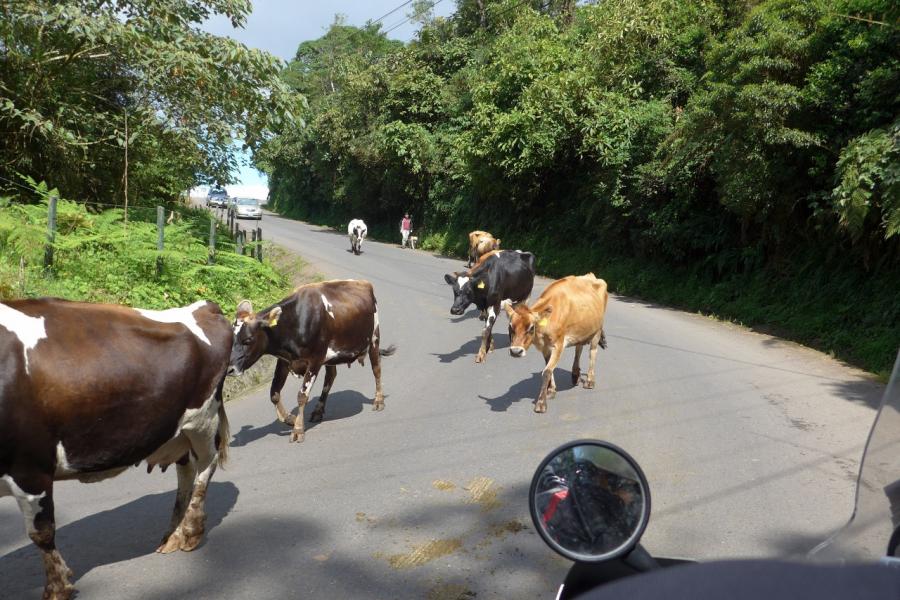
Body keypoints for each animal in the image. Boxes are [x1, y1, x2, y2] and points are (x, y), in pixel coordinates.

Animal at [0, 298, 232, 600]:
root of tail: (204, 306)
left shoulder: (29, 466)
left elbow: (42, 533)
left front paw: (57, 588)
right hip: (176, 429)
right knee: (186, 470)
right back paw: (173, 534)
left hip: (202, 417)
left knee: (206, 466)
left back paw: (191, 531)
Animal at [229, 278, 394, 442]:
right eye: (232, 338)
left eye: (248, 339)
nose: (230, 369)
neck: (294, 323)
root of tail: (362, 282)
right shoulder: (285, 361)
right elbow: (274, 393)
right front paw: (289, 418)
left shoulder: (315, 359)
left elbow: (302, 396)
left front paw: (298, 429)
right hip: (331, 356)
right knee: (330, 377)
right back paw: (318, 411)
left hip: (374, 337)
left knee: (376, 368)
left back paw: (378, 401)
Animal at [502, 276, 608, 412]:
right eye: (510, 327)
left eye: (531, 327)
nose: (515, 351)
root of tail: (593, 276)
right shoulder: (544, 347)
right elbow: (548, 367)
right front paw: (551, 390)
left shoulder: (558, 344)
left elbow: (547, 371)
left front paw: (541, 403)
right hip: (582, 330)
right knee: (578, 349)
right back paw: (575, 374)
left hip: (597, 331)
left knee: (592, 353)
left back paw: (590, 380)